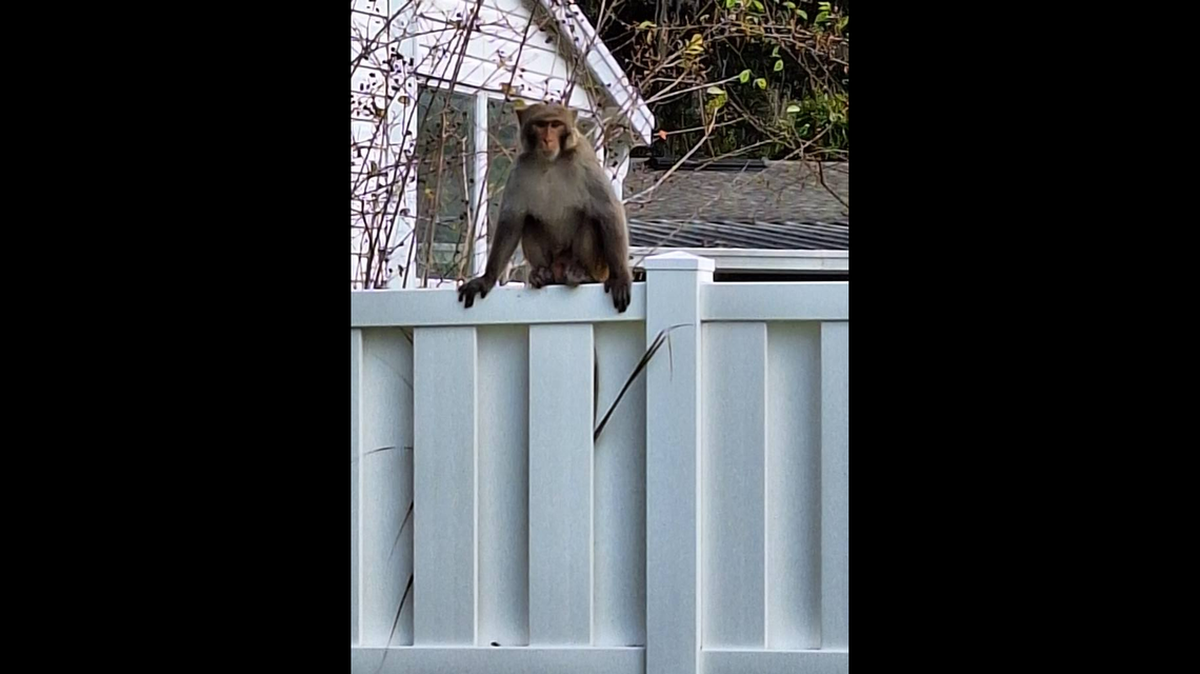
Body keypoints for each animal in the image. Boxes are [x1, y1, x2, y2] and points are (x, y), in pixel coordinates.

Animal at [457, 103, 633, 312]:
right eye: (541, 125)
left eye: (555, 125)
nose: (547, 139)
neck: (551, 161)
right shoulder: (520, 167)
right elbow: (512, 220)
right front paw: (486, 279)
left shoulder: (583, 160)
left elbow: (609, 211)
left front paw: (620, 277)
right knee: (529, 221)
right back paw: (542, 274)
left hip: (598, 266)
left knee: (589, 219)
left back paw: (581, 273)